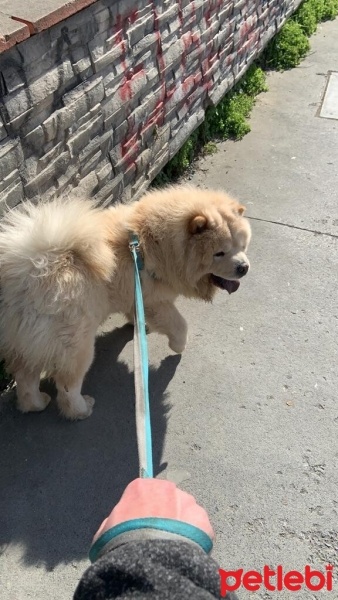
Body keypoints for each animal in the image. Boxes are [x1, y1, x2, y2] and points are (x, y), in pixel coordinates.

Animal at [0, 185, 250, 420]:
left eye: (242, 246)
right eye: (219, 253)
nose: (244, 267)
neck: (155, 243)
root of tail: (32, 267)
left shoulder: (137, 295)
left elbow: (135, 311)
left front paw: (138, 325)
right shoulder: (156, 302)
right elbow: (180, 325)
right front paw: (177, 347)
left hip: (27, 342)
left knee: (25, 378)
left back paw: (36, 404)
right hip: (76, 345)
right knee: (67, 387)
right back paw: (81, 409)